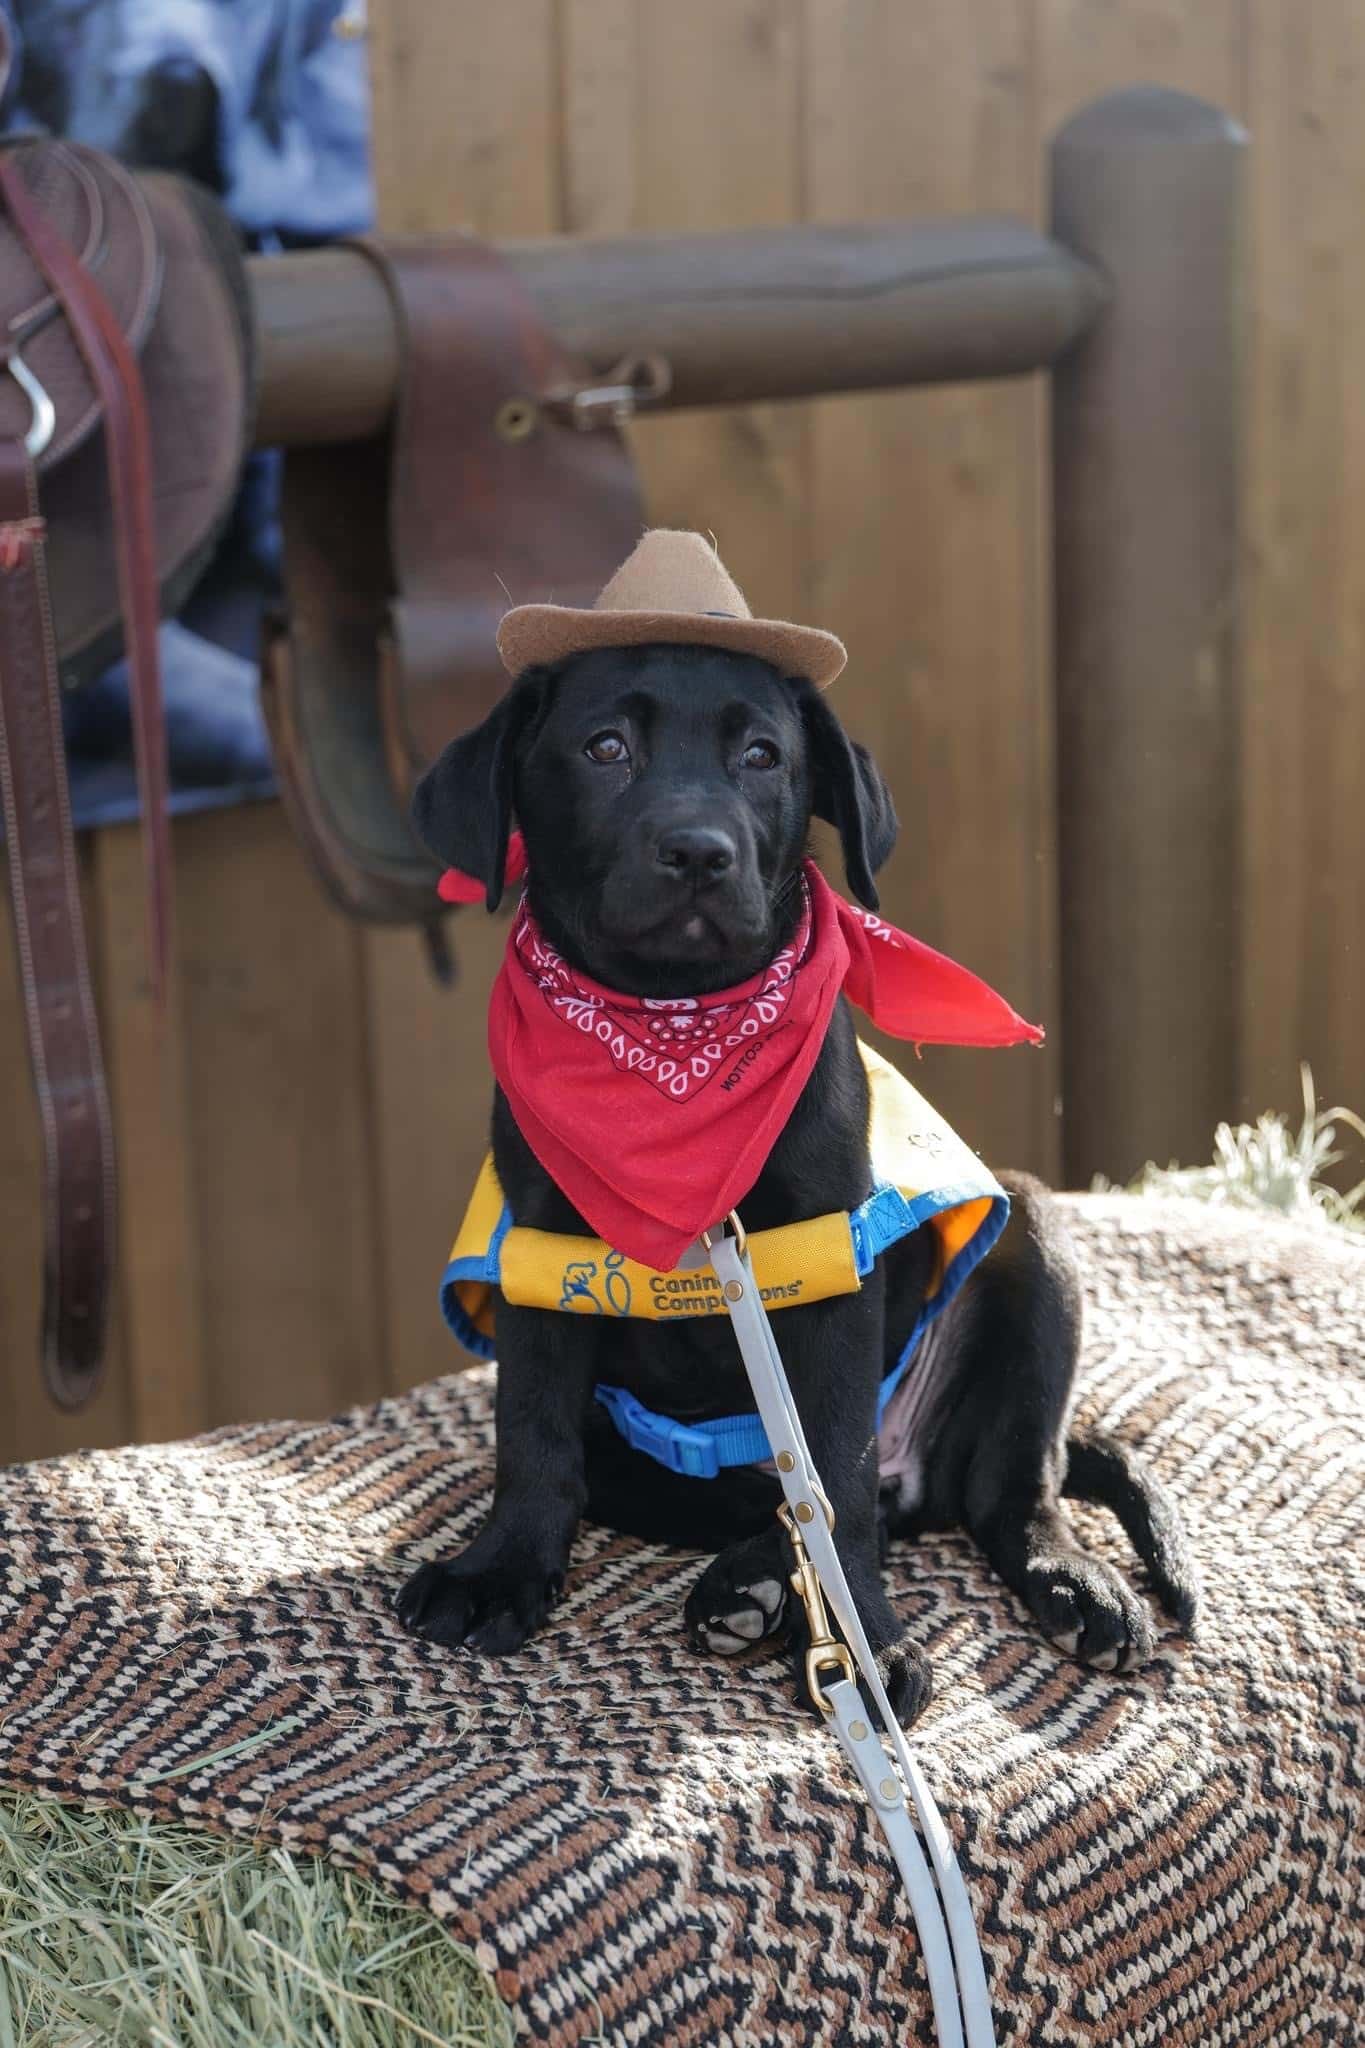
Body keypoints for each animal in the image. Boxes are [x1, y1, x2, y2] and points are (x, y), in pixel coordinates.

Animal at [394, 647, 1195, 1720]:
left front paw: (863, 1640)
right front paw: (498, 1571)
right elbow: (530, 1431)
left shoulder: (830, 1276)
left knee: (1000, 1487)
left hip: (1031, 1237)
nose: (698, 852)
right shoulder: (540, 1259)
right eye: (604, 748)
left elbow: (836, 1476)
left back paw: (1069, 1587)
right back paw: (752, 1584)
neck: (674, 1041)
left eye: (762, 756)